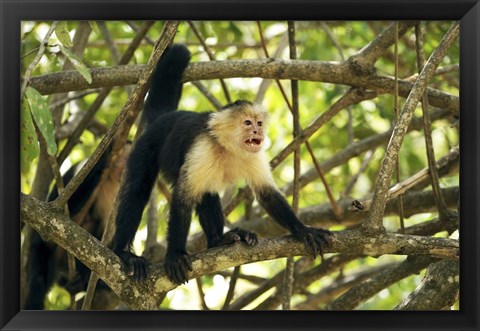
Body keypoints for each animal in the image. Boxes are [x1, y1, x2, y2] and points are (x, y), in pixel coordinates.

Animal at [112, 43, 332, 286]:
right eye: (247, 123)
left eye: (259, 123)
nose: (257, 131)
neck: (229, 149)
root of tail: (164, 119)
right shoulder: (202, 149)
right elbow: (183, 199)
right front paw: (175, 255)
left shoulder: (255, 156)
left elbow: (267, 194)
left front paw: (303, 230)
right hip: (145, 148)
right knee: (138, 192)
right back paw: (123, 253)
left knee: (207, 194)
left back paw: (218, 241)